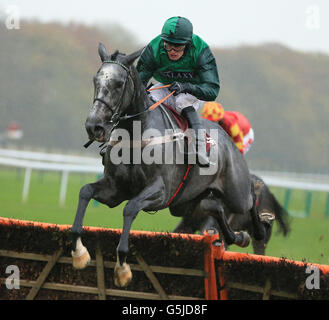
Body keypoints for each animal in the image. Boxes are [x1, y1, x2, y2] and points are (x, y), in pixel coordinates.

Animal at [69, 43, 264, 288]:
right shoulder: (114, 190)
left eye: (119, 84)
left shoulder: (160, 192)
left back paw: (259, 229)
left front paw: (122, 268)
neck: (137, 133)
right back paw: (238, 236)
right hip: (185, 202)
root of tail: (230, 141)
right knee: (215, 208)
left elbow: (130, 207)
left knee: (250, 198)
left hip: (234, 193)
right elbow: (85, 192)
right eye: (96, 80)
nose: (94, 126)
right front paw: (79, 252)